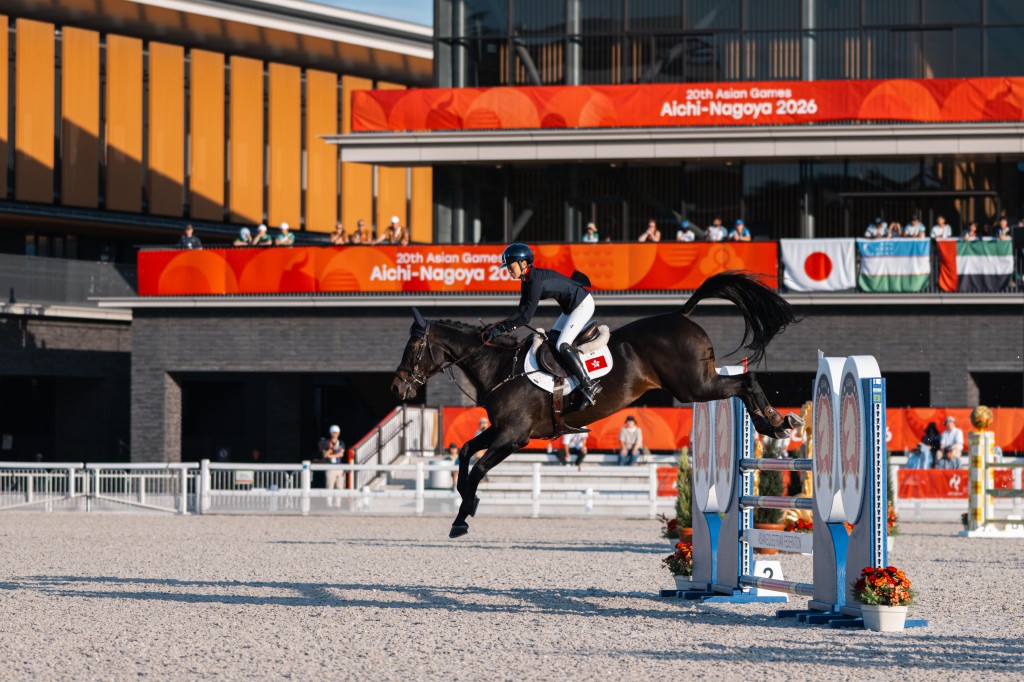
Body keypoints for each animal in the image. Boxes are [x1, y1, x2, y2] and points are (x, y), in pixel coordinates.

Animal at [391, 271, 802, 538]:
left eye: (413, 349)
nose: (397, 388)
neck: (498, 367)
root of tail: (680, 314)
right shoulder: (500, 430)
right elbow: (464, 454)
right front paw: (467, 504)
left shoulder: (513, 437)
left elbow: (477, 468)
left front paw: (461, 519)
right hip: (696, 385)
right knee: (742, 384)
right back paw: (773, 423)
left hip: (694, 388)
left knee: (745, 381)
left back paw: (776, 422)